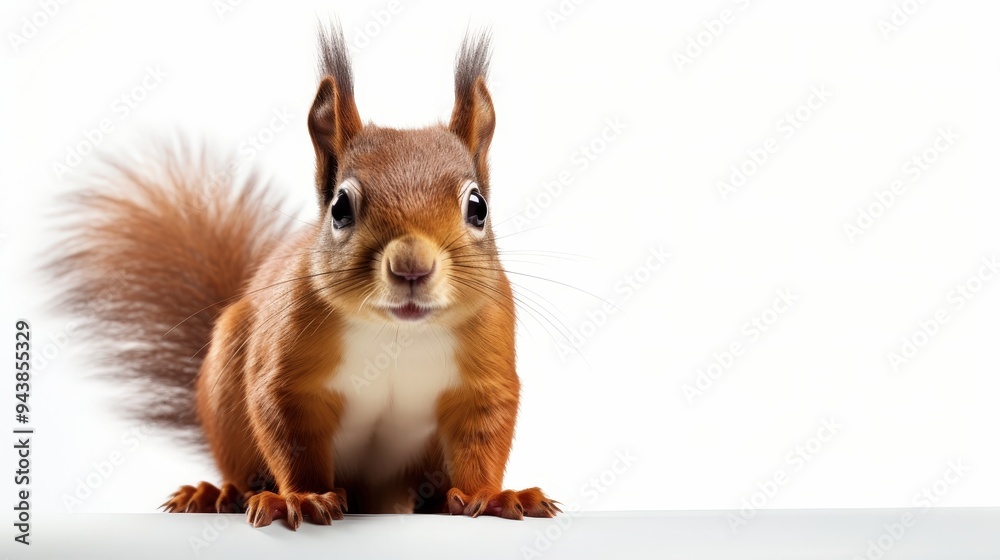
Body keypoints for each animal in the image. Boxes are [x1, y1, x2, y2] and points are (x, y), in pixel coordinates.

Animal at [50, 25, 559, 529]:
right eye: (340, 207)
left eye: (478, 207)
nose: (412, 265)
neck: (397, 334)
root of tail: (376, 498)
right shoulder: (286, 369)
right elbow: (292, 439)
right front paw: (304, 497)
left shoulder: (485, 365)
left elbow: (482, 438)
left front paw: (491, 496)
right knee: (243, 468)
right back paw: (219, 494)